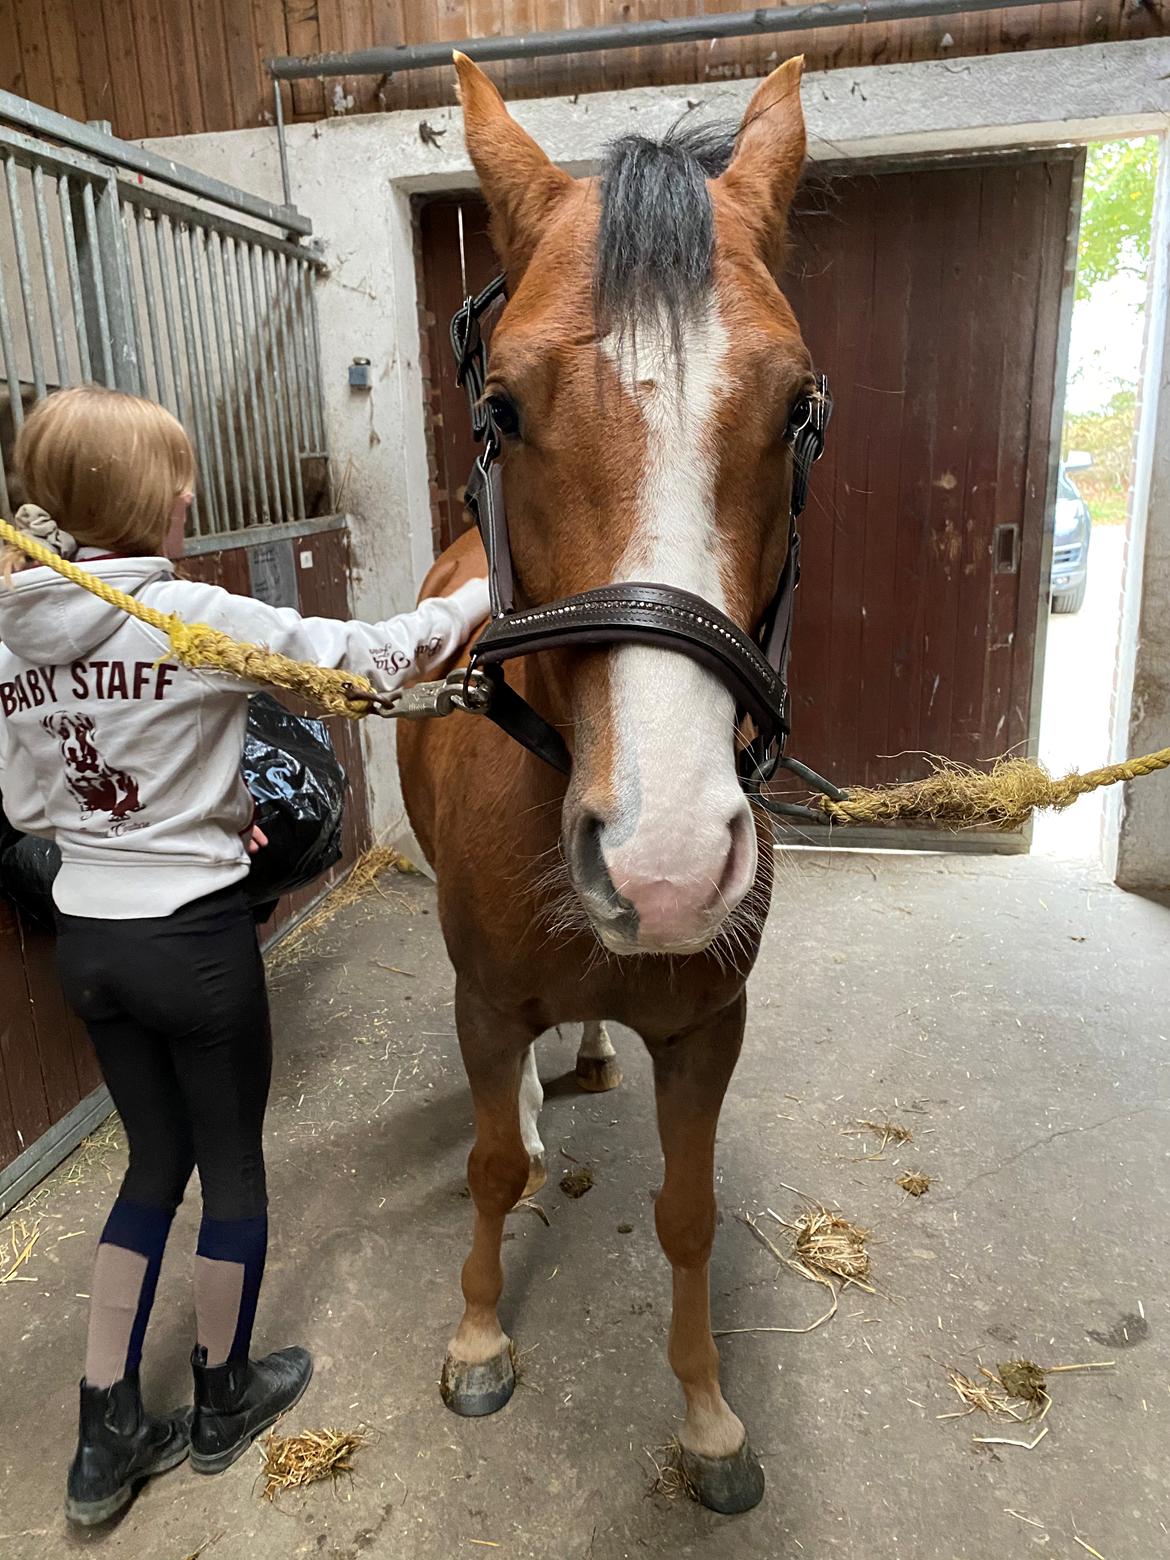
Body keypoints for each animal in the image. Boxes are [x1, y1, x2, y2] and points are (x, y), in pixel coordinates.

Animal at [399, 54, 817, 1516]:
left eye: (798, 409)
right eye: (503, 410)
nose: (666, 865)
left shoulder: (708, 1032)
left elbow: (688, 1217)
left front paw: (709, 1419)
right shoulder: (478, 998)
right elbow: (484, 1160)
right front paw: (477, 1336)